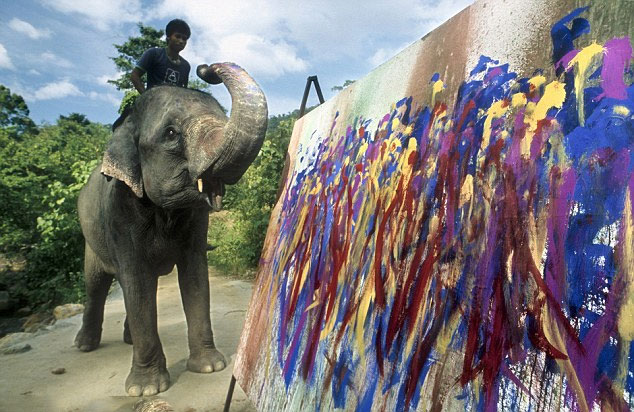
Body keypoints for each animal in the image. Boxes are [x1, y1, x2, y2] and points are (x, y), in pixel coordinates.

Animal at [73, 62, 267, 396]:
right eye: (171, 133)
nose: (206, 69)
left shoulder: (196, 221)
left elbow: (195, 274)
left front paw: (210, 367)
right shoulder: (119, 212)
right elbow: (136, 279)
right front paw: (146, 390)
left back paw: (128, 339)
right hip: (91, 239)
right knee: (96, 283)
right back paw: (85, 346)